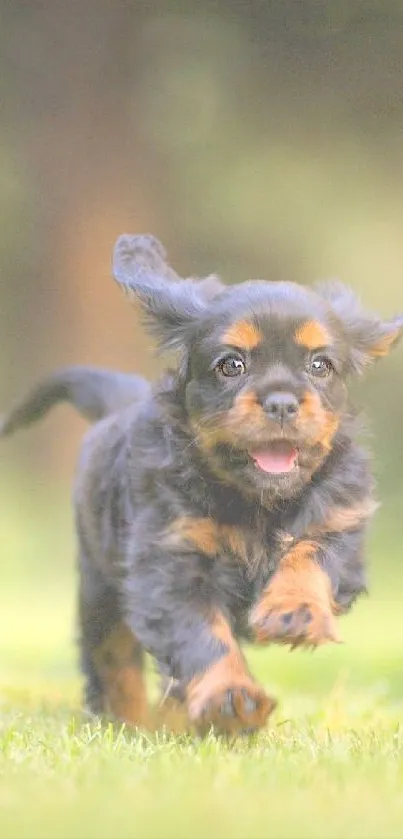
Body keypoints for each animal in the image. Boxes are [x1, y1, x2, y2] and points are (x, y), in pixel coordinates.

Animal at [2, 231, 400, 736]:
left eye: (319, 366)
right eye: (231, 365)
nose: (282, 403)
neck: (257, 500)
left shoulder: (340, 523)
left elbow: (310, 557)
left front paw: (294, 611)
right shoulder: (171, 561)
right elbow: (202, 635)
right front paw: (231, 698)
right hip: (100, 586)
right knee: (112, 659)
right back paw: (134, 722)